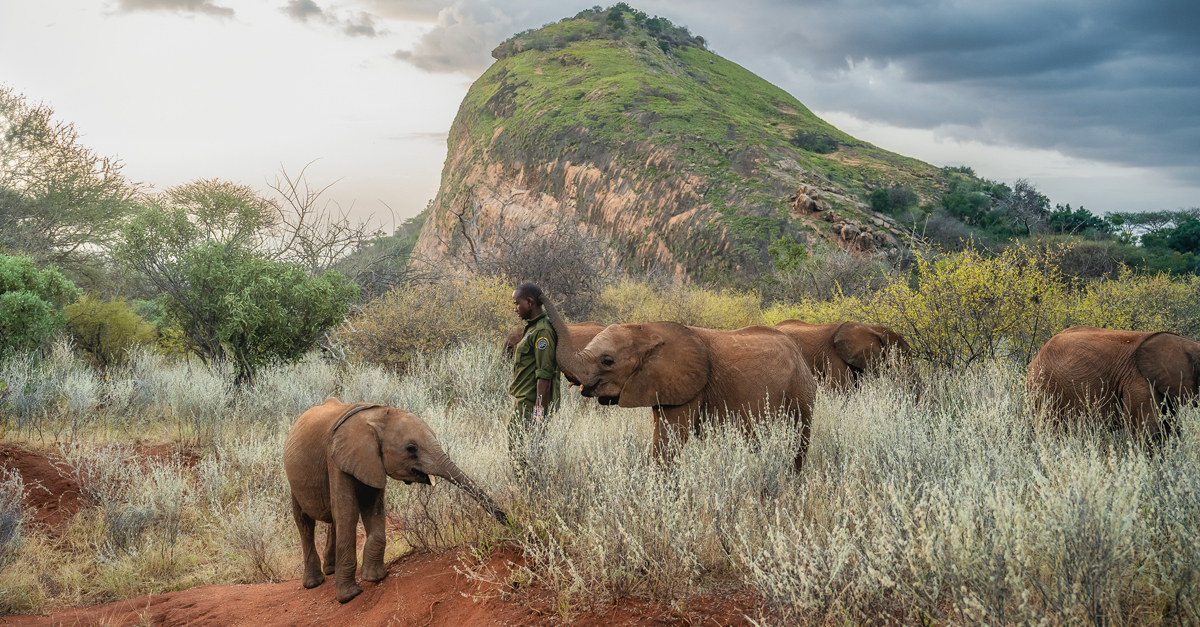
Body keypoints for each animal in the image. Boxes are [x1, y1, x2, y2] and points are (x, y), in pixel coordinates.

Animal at [283, 398, 507, 603]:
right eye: (411, 448)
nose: (507, 520)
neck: (376, 416)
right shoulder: (336, 460)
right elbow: (348, 513)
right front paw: (349, 596)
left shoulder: (370, 462)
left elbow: (373, 509)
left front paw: (375, 577)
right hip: (293, 479)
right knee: (304, 521)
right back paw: (314, 582)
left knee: (332, 518)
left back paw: (330, 570)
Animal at [540, 295, 817, 471]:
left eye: (607, 361)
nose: (535, 292)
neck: (646, 330)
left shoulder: (689, 388)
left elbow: (668, 443)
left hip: (800, 393)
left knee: (797, 445)